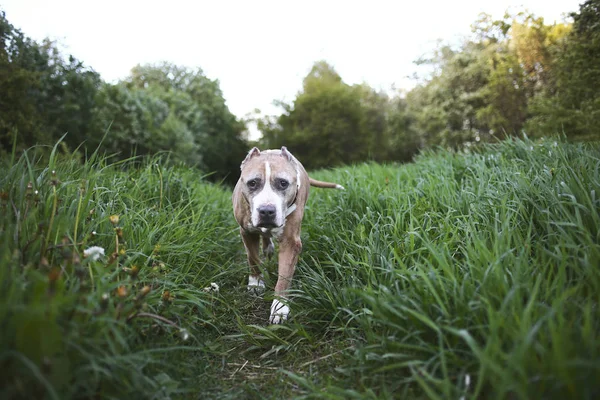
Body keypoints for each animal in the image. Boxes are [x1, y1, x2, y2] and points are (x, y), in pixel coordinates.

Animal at [232, 145, 344, 324]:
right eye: (252, 183)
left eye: (283, 183)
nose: (267, 211)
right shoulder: (246, 232)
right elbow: (252, 258)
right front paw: (256, 283)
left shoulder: (290, 243)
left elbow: (284, 278)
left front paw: (280, 307)